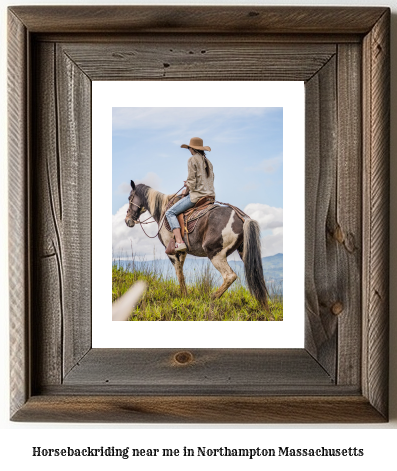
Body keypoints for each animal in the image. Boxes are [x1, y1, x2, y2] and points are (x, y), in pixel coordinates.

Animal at [123, 181, 270, 310]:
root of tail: (242, 217)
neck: (164, 211)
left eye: (130, 197)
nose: (127, 220)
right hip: (244, 253)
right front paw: (185, 296)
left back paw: (211, 298)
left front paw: (183, 297)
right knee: (256, 276)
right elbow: (182, 274)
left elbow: (179, 274)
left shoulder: (171, 253)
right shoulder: (182, 252)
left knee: (229, 276)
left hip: (215, 253)